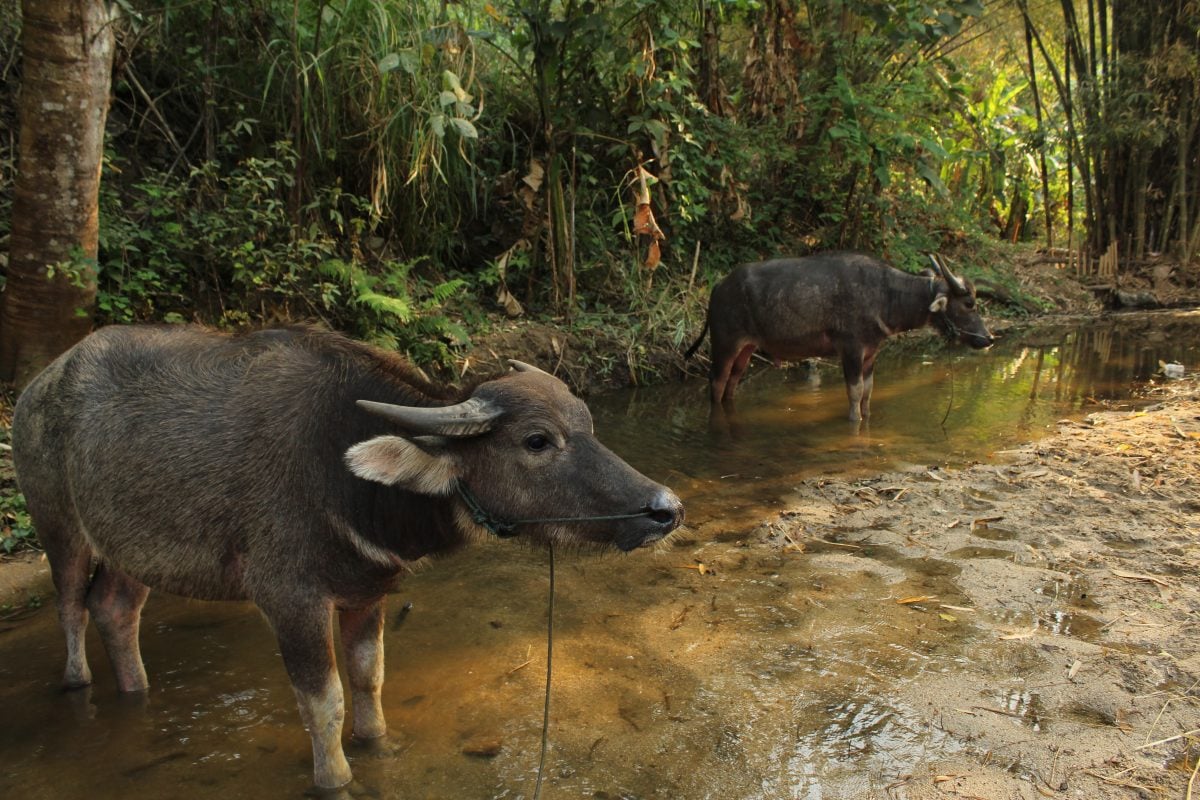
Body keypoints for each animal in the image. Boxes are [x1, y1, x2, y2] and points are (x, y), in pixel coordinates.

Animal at [686, 253, 993, 422]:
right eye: (969, 304)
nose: (987, 338)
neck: (885, 296)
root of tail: (719, 286)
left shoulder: (871, 352)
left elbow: (869, 391)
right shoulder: (851, 349)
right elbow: (854, 392)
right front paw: (855, 421)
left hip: (746, 348)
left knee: (733, 382)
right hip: (724, 343)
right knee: (716, 382)